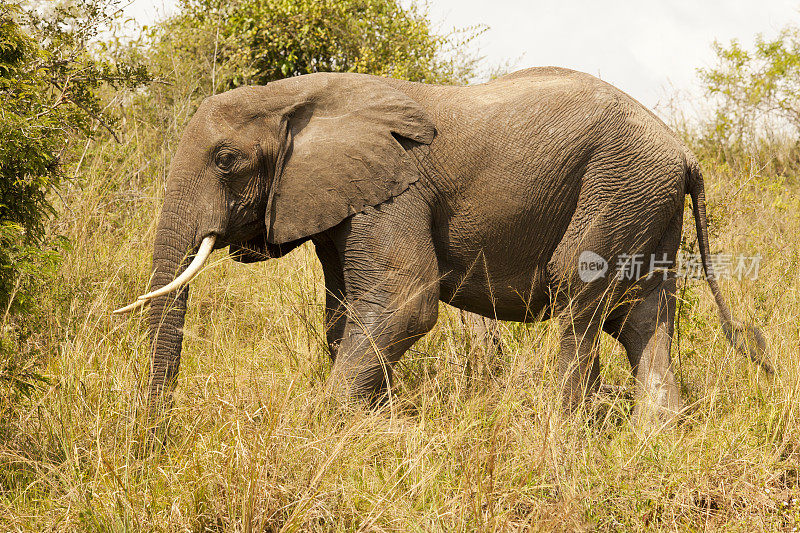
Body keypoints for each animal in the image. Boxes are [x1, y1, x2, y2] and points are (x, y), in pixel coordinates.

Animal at [115, 66, 764, 426]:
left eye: (226, 160)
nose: (155, 435)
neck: (293, 96)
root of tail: (686, 153)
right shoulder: (349, 201)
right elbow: (347, 310)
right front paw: (376, 424)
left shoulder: (398, 188)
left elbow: (405, 300)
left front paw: (326, 426)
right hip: (647, 201)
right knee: (643, 316)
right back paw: (656, 436)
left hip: (619, 188)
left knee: (581, 297)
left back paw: (559, 435)